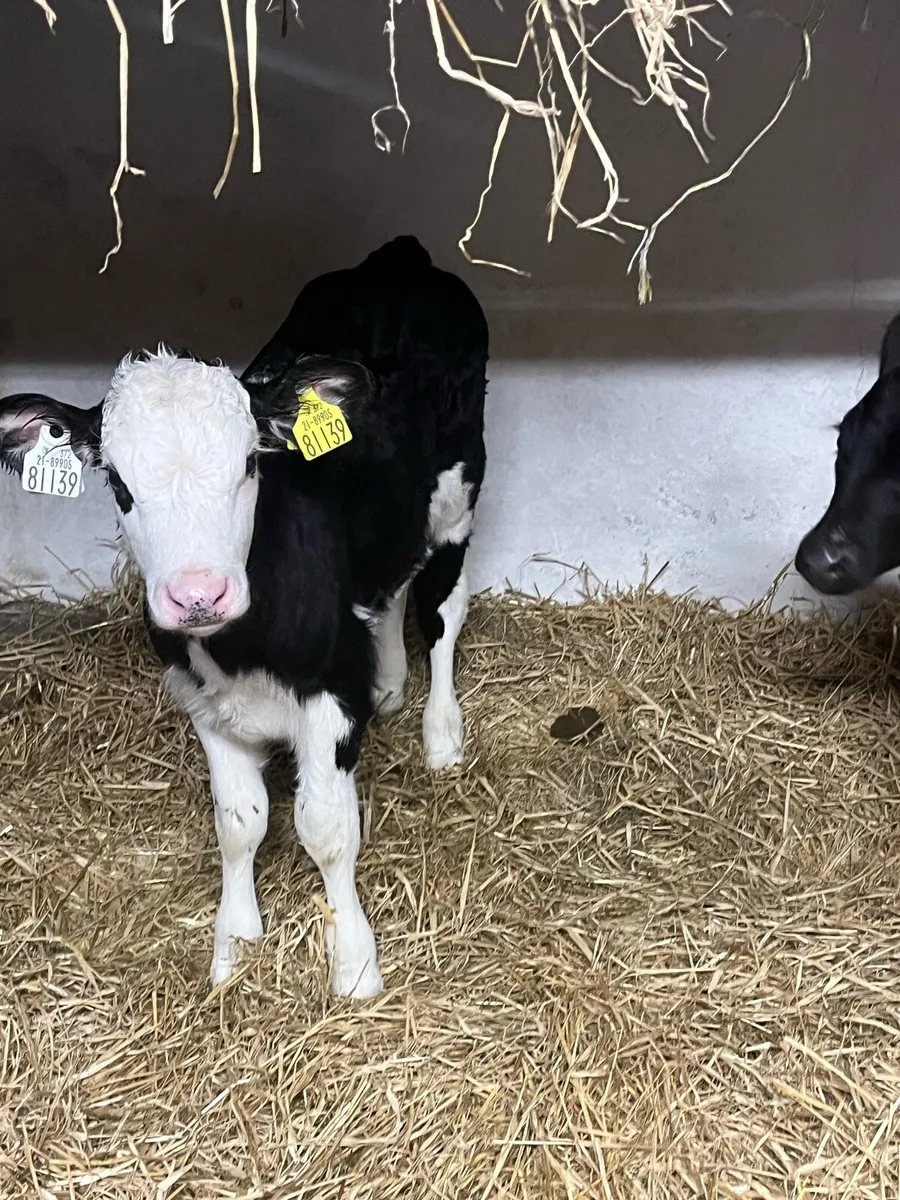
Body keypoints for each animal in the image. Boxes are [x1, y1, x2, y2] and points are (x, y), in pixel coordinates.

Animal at [0, 236, 488, 998]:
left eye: (249, 467)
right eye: (118, 483)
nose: (198, 593)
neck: (240, 650)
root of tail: (400, 257)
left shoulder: (329, 695)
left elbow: (326, 828)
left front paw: (354, 965)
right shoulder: (204, 700)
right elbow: (239, 823)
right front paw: (233, 945)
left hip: (459, 488)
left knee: (442, 609)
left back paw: (441, 734)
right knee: (390, 583)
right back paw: (388, 681)